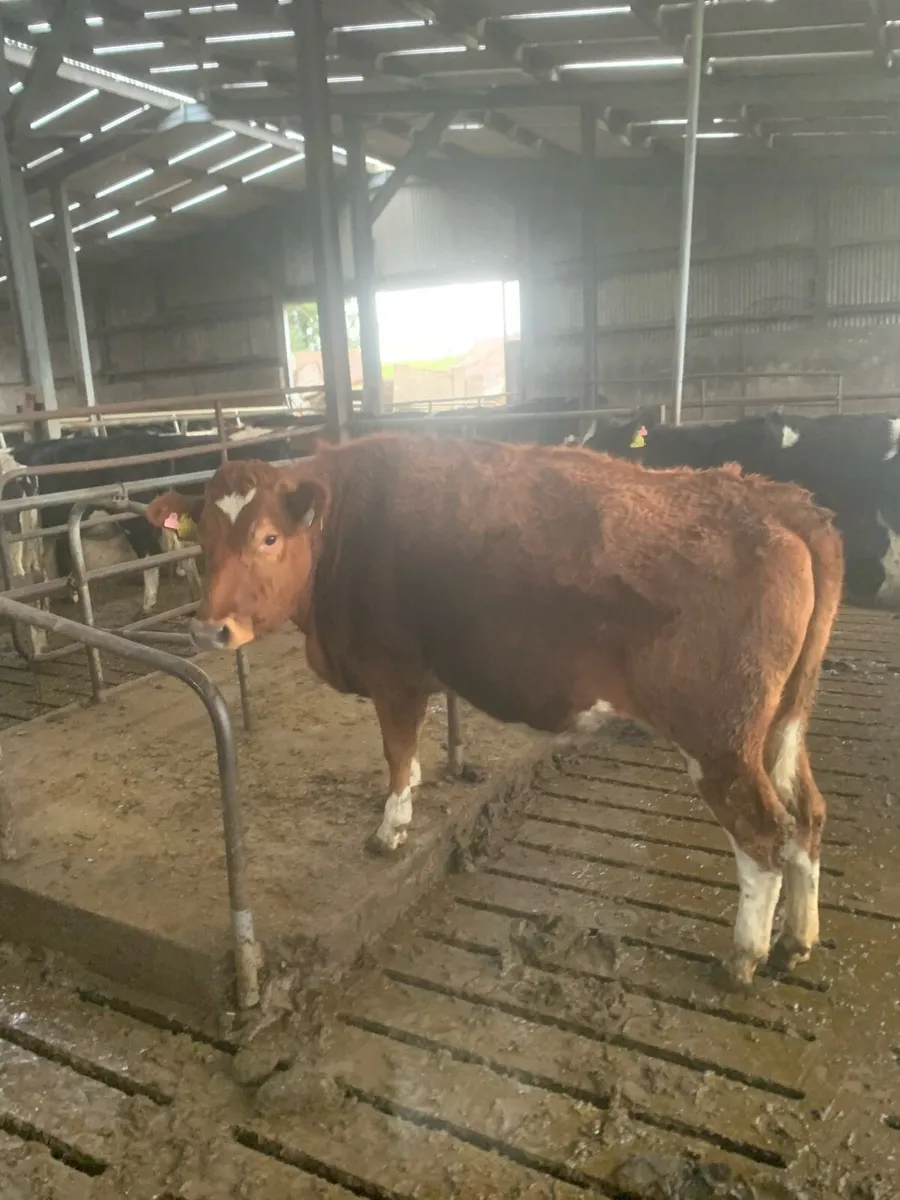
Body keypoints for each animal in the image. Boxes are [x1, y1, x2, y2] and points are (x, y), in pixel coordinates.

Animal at [144, 434, 843, 989]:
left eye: (267, 536)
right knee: (807, 813)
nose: (209, 629)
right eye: (204, 542)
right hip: (783, 724)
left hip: (720, 738)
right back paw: (796, 941)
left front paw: (390, 829)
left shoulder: (394, 674)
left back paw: (744, 958)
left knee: (764, 834)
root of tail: (775, 500)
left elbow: (398, 753)